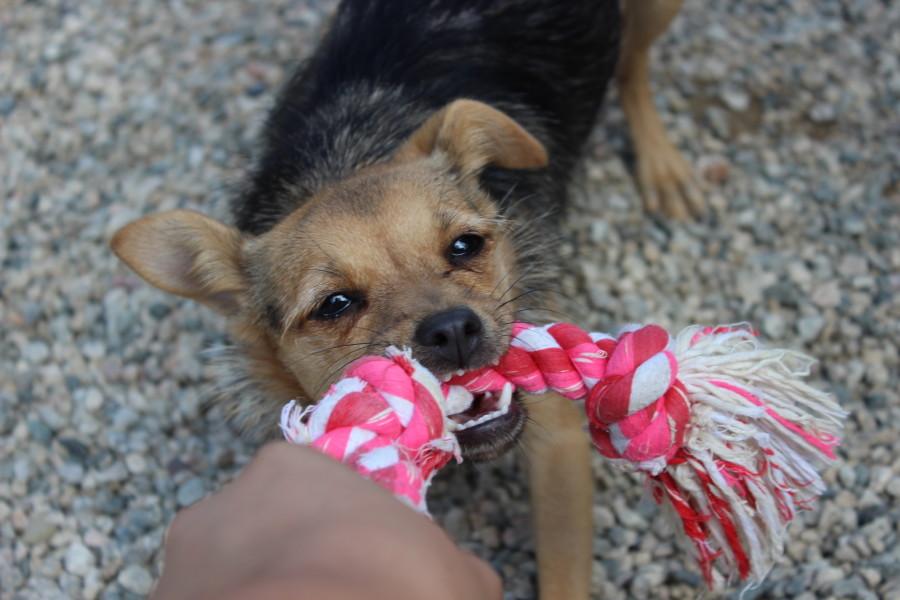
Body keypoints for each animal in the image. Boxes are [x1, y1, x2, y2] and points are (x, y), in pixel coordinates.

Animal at [112, 2, 700, 596]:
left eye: (466, 245)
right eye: (334, 304)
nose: (453, 329)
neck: (345, 159)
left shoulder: (557, 437)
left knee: (633, 66)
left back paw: (662, 163)